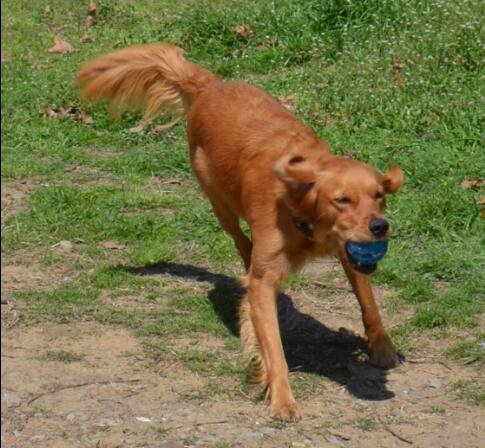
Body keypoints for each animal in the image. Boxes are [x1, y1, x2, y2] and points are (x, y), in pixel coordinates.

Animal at [77, 44, 404, 420]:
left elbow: (368, 301)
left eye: (378, 195)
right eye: (342, 199)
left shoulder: (350, 250)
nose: (380, 226)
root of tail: (211, 84)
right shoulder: (268, 277)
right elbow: (273, 345)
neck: (297, 203)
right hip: (220, 203)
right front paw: (281, 396)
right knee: (242, 244)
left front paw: (382, 346)